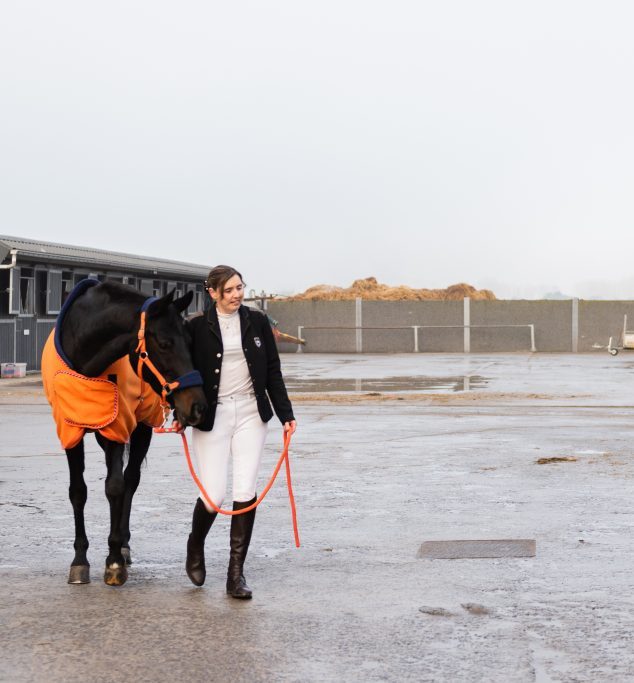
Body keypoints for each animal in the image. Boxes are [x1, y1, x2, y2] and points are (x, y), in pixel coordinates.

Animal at [42, 280, 205, 584]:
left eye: (191, 342)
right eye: (164, 343)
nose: (198, 407)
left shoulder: (116, 426)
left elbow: (116, 486)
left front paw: (114, 558)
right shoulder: (70, 429)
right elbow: (77, 491)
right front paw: (79, 560)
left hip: (142, 429)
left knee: (131, 479)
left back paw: (124, 545)